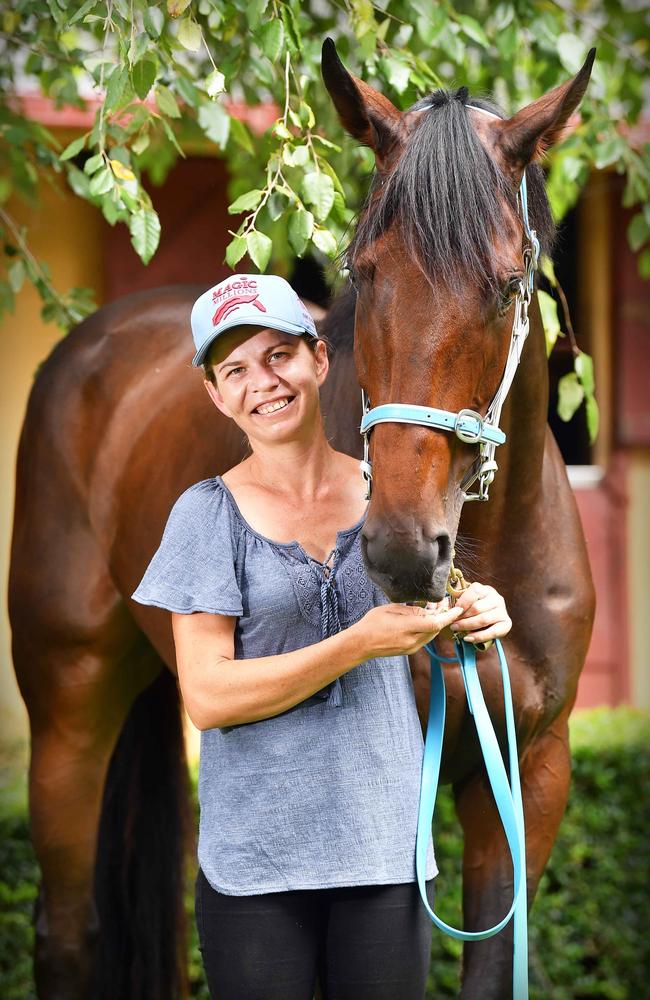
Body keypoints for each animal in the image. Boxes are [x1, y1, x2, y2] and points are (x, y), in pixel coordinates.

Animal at [10, 41, 596, 1000]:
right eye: (364, 271)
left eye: (510, 284)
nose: (403, 549)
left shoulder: (529, 775)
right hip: (67, 706)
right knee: (66, 933)